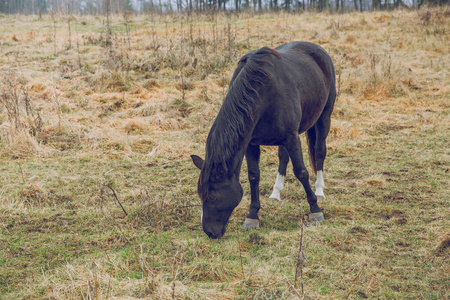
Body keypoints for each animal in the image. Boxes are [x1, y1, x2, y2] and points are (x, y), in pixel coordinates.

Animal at [190, 41, 334, 239]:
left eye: (212, 196)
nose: (210, 232)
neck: (261, 95)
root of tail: (317, 49)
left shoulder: (292, 137)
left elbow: (301, 171)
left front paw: (315, 209)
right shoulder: (251, 142)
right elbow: (253, 175)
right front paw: (252, 215)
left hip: (324, 117)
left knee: (319, 151)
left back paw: (319, 190)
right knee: (283, 156)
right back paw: (276, 192)